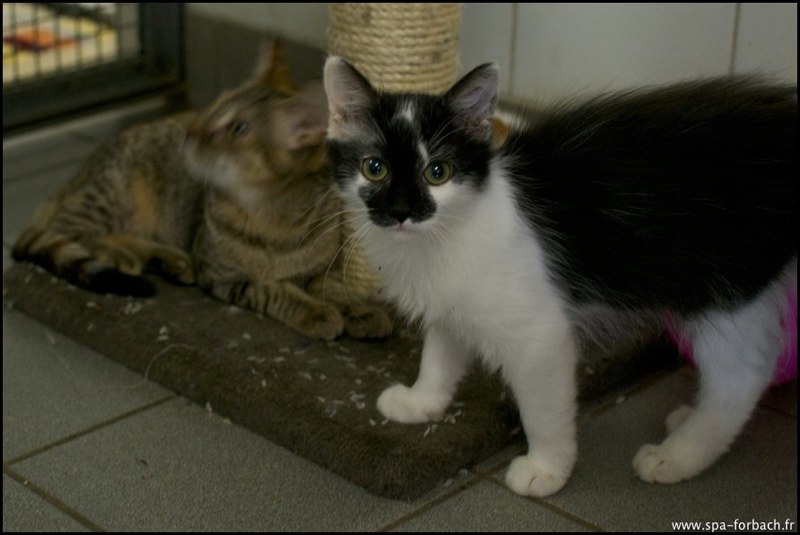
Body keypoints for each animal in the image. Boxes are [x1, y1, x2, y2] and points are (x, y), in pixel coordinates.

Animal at [10, 43, 390, 344]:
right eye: (213, 107)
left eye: (238, 128)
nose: (191, 131)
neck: (271, 216)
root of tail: (73, 179)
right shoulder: (227, 278)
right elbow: (274, 290)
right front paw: (316, 313)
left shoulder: (322, 267)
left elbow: (334, 287)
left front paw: (359, 311)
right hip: (113, 196)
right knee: (73, 231)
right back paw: (131, 256)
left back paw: (169, 260)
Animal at [322, 58, 796, 498]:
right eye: (374, 168)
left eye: (437, 172)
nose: (402, 212)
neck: (441, 239)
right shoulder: (450, 303)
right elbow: (440, 353)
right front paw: (421, 401)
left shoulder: (540, 336)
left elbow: (543, 410)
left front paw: (547, 468)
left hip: (725, 283)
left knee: (744, 373)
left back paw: (680, 453)